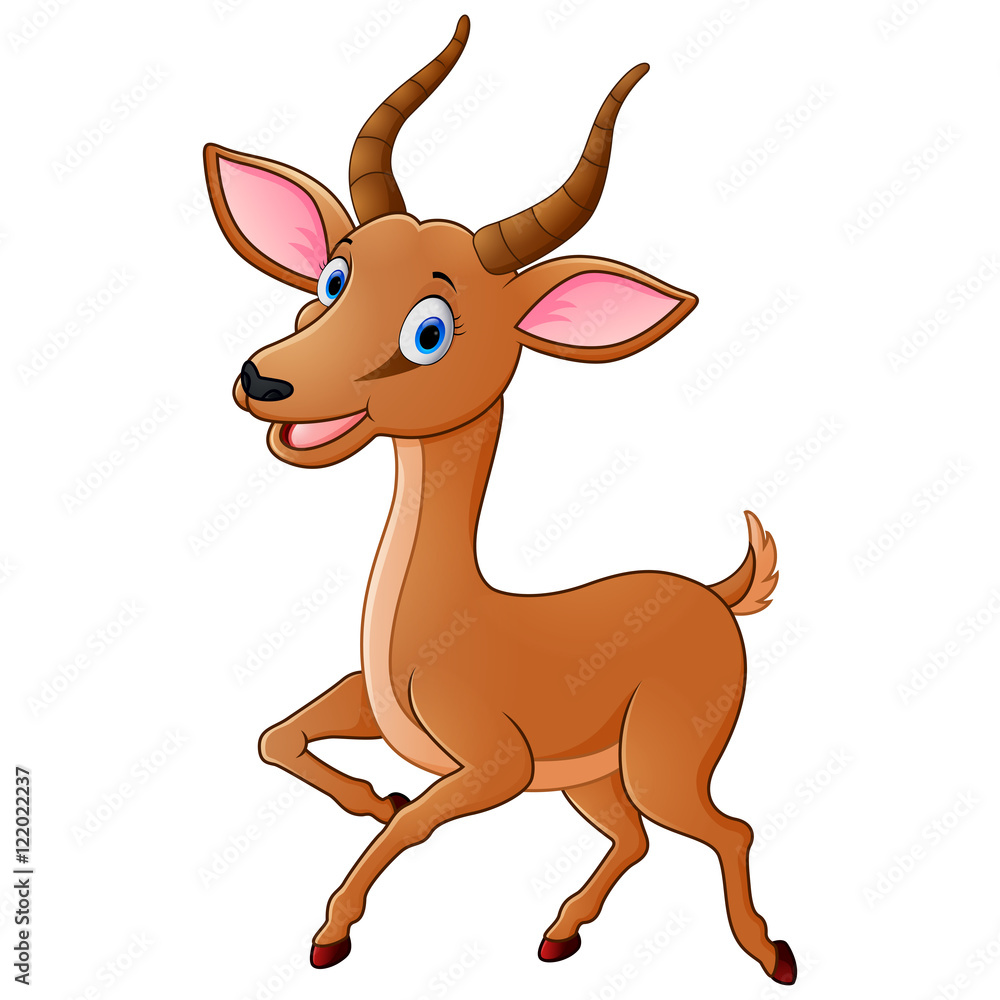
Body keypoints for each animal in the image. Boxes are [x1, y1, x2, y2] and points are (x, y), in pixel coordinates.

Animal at [204, 15, 797, 986]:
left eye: (430, 331)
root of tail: (717, 593)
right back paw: (560, 935)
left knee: (726, 828)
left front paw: (331, 934)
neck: (442, 624)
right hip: (593, 778)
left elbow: (414, 823)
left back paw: (771, 955)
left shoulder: (498, 768)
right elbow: (278, 739)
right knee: (634, 840)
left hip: (659, 763)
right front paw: (373, 797)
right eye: (332, 278)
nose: (264, 381)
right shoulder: (378, 713)